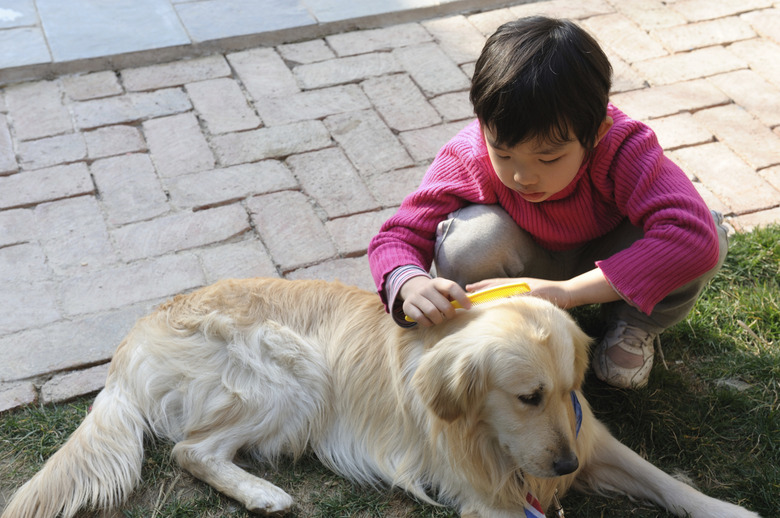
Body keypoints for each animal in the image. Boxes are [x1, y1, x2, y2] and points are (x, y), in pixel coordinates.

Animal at [3, 280, 760, 518]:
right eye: (526, 396)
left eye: (571, 392)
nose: (565, 468)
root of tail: (132, 340)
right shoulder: (486, 495)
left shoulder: (591, 438)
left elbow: (668, 482)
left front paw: (728, 509)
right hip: (295, 371)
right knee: (192, 451)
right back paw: (263, 494)